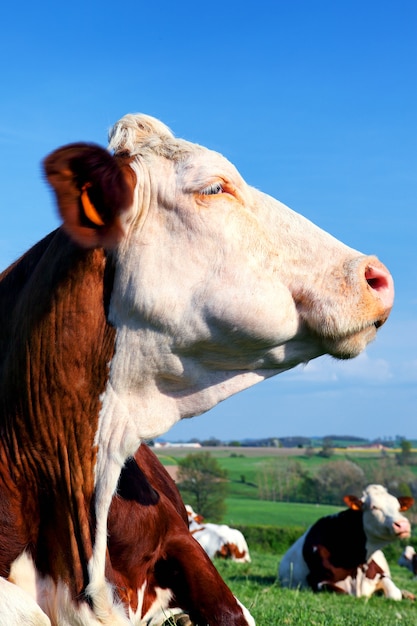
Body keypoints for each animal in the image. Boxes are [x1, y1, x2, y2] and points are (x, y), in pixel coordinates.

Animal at [278, 480, 412, 596]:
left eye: (398, 508)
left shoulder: (380, 574)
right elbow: (344, 592)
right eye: (374, 507)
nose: (403, 524)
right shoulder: (320, 582)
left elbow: (395, 593)